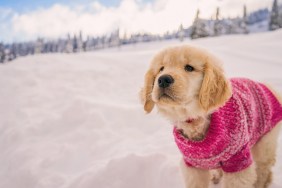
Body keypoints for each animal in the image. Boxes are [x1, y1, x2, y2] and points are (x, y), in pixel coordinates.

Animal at [140, 46, 282, 188]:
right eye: (161, 68)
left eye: (189, 68)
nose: (163, 79)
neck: (196, 119)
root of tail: (267, 87)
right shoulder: (193, 165)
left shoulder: (238, 161)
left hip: (265, 142)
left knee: (264, 169)